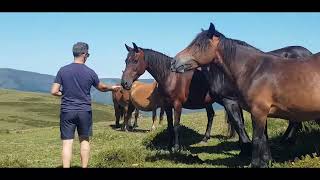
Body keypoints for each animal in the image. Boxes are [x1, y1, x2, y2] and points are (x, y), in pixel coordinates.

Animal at [121, 42, 251, 155]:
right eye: (126, 61)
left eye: (135, 61)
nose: (124, 83)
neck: (171, 77)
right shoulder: (167, 106)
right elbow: (170, 126)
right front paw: (169, 146)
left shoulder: (177, 105)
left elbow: (176, 126)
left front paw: (176, 148)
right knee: (213, 115)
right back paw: (206, 138)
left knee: (237, 118)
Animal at [171, 22, 320, 167]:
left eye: (198, 45)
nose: (174, 62)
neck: (254, 71)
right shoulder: (258, 112)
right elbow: (262, 137)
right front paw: (266, 161)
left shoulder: (256, 111)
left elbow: (256, 138)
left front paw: (254, 162)